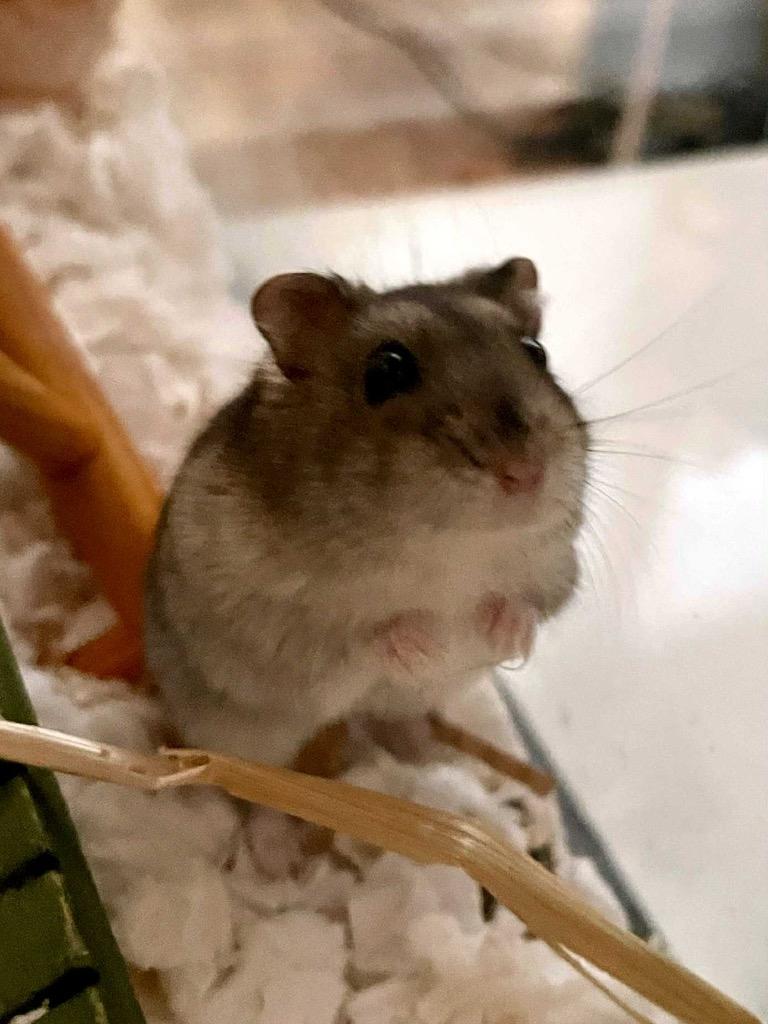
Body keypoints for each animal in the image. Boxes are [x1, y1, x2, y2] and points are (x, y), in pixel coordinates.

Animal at [144, 258, 588, 765]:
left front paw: (504, 635)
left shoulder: (556, 569)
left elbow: (530, 604)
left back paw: (421, 752)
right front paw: (428, 646)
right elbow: (365, 637)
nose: (525, 472)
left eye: (537, 352)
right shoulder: (272, 620)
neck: (453, 546)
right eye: (387, 370)